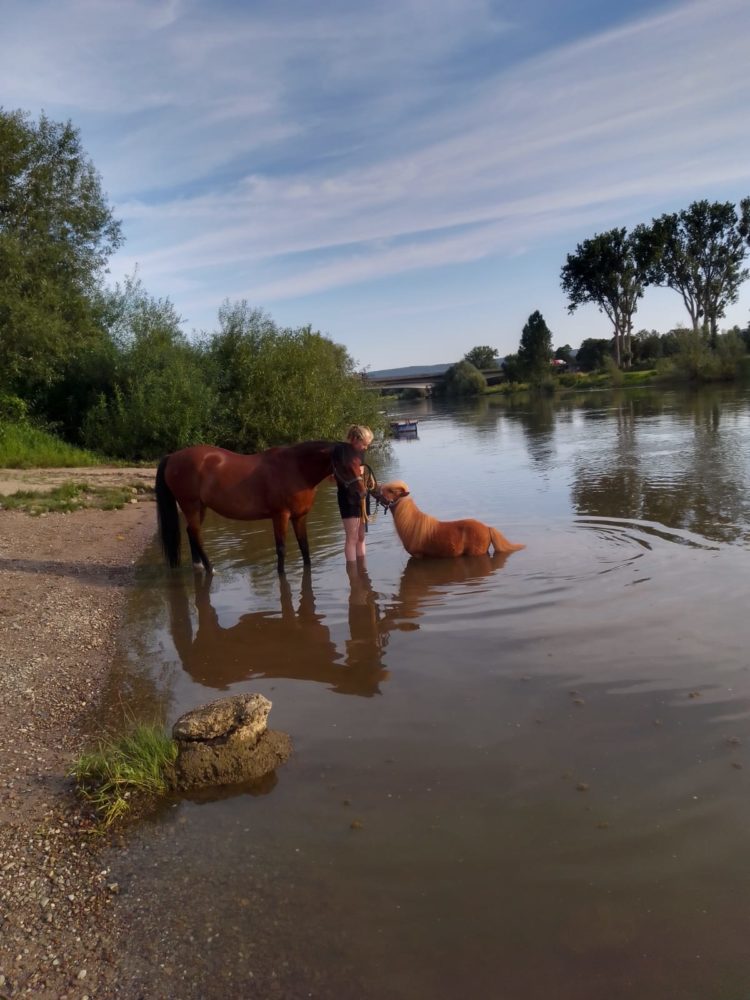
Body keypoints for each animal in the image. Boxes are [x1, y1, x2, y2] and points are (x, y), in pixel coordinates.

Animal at [154, 442, 366, 576]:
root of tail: (172, 456)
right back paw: (210, 568)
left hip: (200, 507)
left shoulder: (299, 517)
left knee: (192, 532)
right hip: (190, 505)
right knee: (195, 534)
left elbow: (305, 548)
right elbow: (281, 549)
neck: (295, 469)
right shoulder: (280, 516)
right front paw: (281, 575)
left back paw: (199, 566)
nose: (361, 494)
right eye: (343, 466)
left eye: (359, 464)